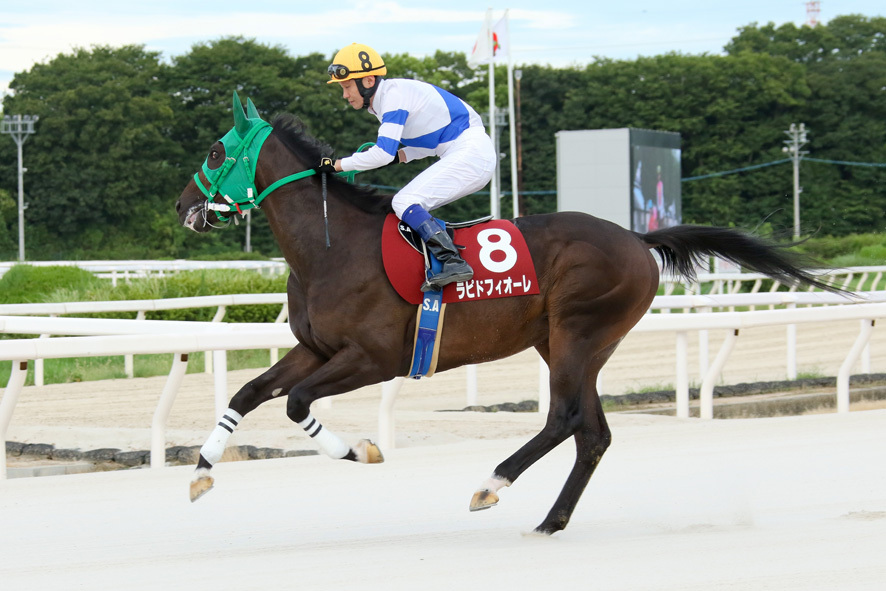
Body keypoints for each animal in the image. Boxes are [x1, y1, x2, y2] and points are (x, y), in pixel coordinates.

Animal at [175, 92, 840, 536]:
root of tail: (636, 238)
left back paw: (489, 486)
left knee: (565, 417)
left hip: (577, 332)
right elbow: (248, 392)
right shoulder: (314, 348)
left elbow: (294, 403)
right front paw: (202, 471)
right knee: (592, 432)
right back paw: (551, 522)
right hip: (571, 342)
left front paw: (363, 451)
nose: (184, 207)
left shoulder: (374, 357)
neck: (332, 247)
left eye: (214, 148)